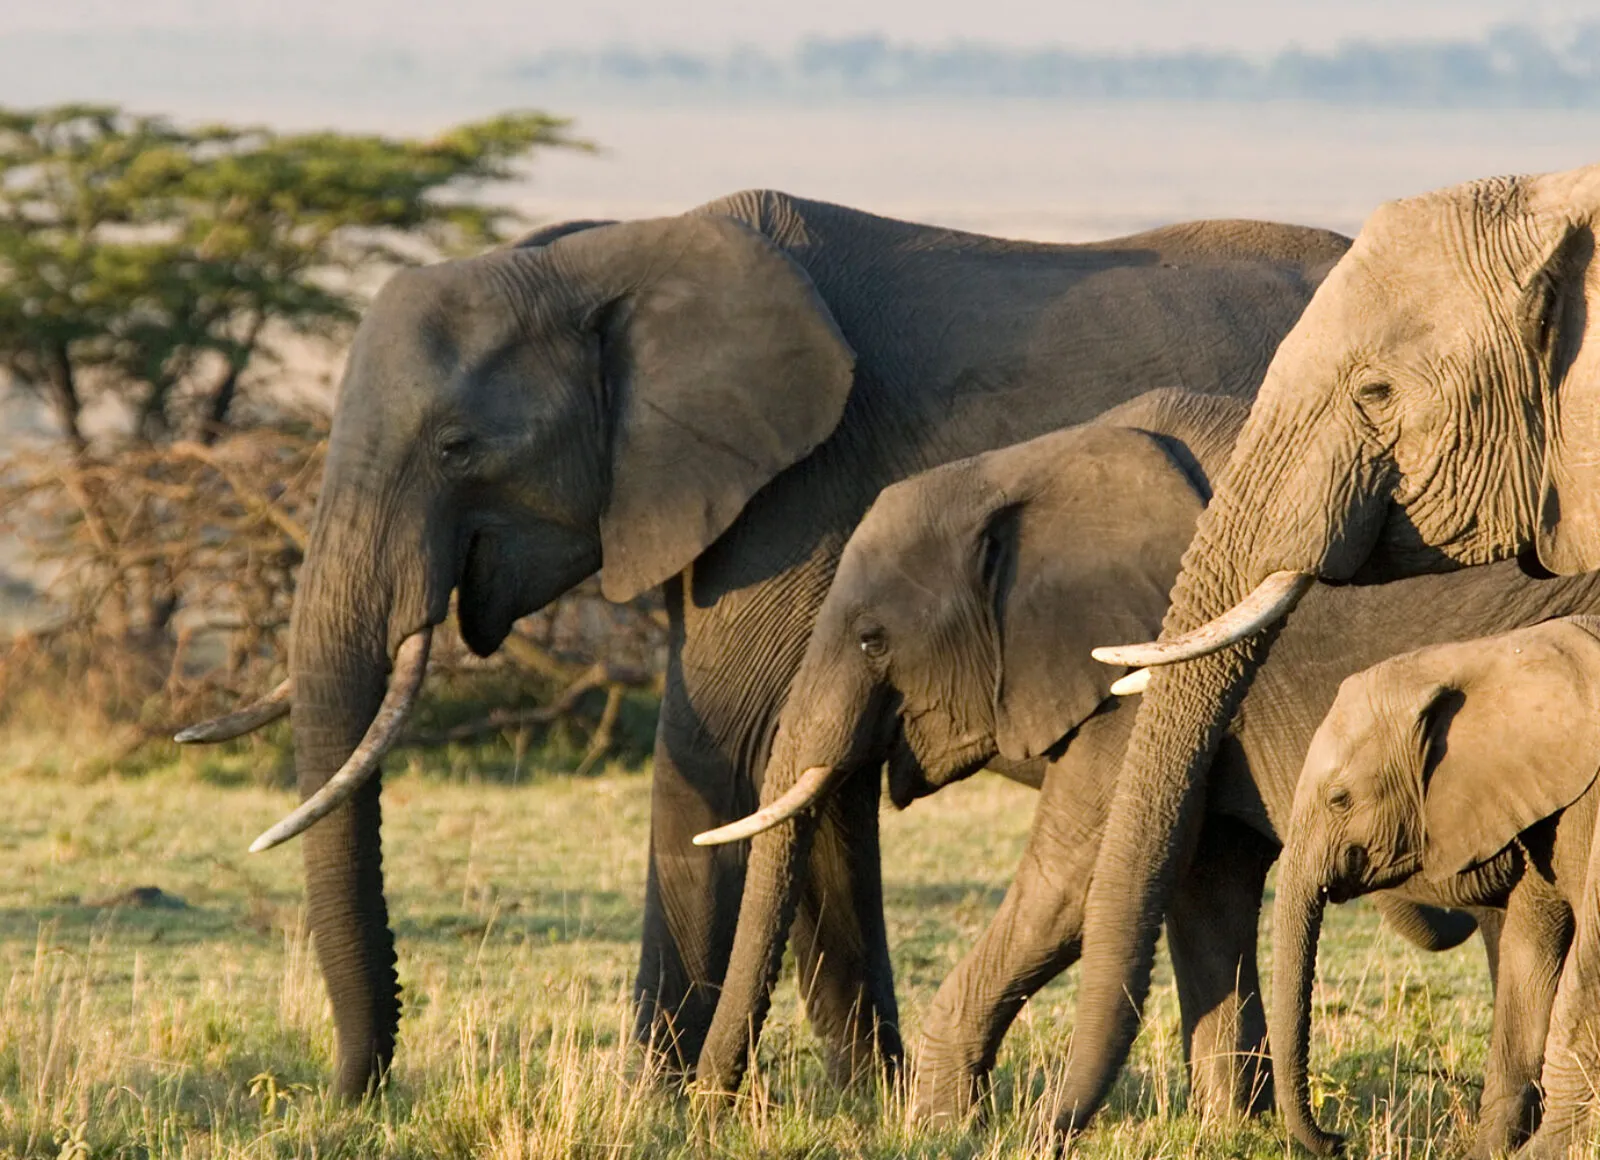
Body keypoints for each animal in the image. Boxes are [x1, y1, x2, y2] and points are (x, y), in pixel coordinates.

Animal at [176, 190, 1353, 1097]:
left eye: (458, 446)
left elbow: (725, 751)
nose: (353, 1094)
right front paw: (864, 1104)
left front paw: (650, 1108)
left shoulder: (796, 493)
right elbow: (808, 784)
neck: (611, 257)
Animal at [1273, 616, 1600, 1158]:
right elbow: (1529, 950)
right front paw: (1488, 1151)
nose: (1338, 1138)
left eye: (1340, 799)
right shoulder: (1535, 798)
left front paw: (1548, 1148)